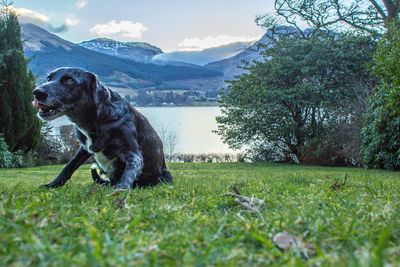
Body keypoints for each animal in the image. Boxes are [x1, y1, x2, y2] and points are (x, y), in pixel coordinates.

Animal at [32, 67, 173, 189]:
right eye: (49, 78)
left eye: (69, 80)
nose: (37, 92)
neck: (99, 119)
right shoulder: (84, 148)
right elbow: (69, 166)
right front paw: (53, 184)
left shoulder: (133, 154)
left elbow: (129, 171)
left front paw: (121, 188)